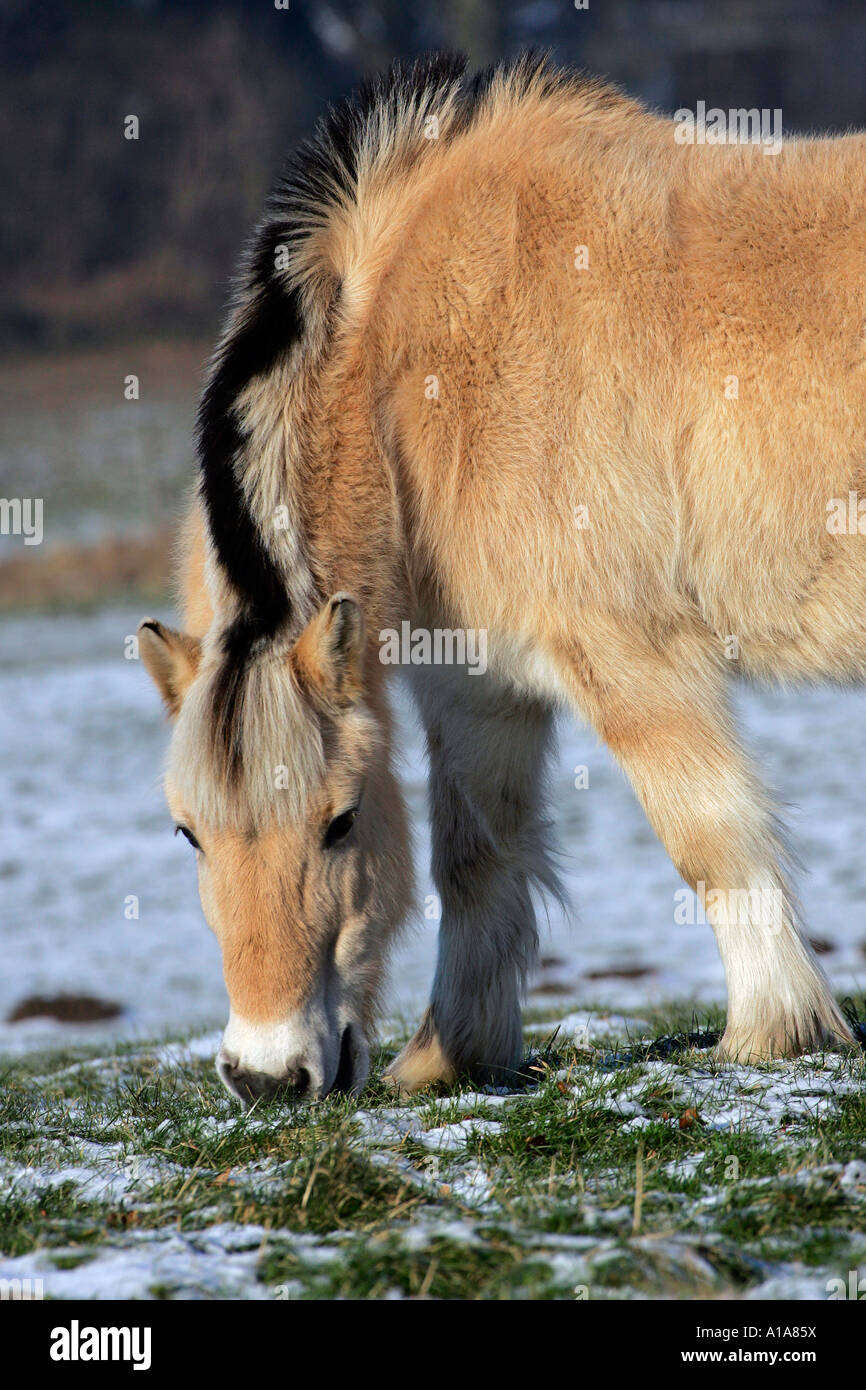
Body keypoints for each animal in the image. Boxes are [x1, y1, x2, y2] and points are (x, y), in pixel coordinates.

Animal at [136, 48, 861, 1100]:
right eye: (189, 833)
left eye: (341, 822)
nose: (268, 1076)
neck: (416, 379)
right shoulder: (482, 690)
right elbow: (477, 861)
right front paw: (449, 1056)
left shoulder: (628, 656)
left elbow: (710, 836)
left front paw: (770, 1034)